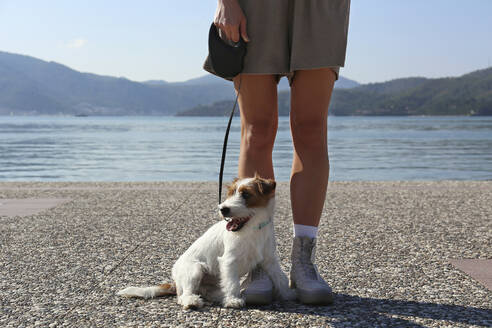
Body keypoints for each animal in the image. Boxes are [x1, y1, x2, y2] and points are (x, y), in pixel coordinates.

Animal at [118, 174, 296, 310]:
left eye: (246, 194)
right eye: (230, 193)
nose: (223, 209)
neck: (253, 229)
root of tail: (175, 282)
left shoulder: (270, 260)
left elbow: (280, 278)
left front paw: (289, 294)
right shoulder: (229, 261)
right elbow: (232, 282)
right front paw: (233, 300)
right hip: (195, 269)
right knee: (183, 296)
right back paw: (193, 301)